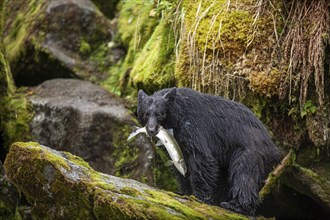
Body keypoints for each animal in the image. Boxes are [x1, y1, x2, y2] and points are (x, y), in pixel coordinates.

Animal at [137, 87, 282, 216]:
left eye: (159, 114)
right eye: (146, 114)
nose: (151, 130)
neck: (175, 117)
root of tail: (272, 145)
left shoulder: (192, 128)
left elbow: (201, 159)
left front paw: (199, 196)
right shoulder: (177, 143)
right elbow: (181, 165)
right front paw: (184, 192)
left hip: (249, 151)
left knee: (244, 174)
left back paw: (237, 206)